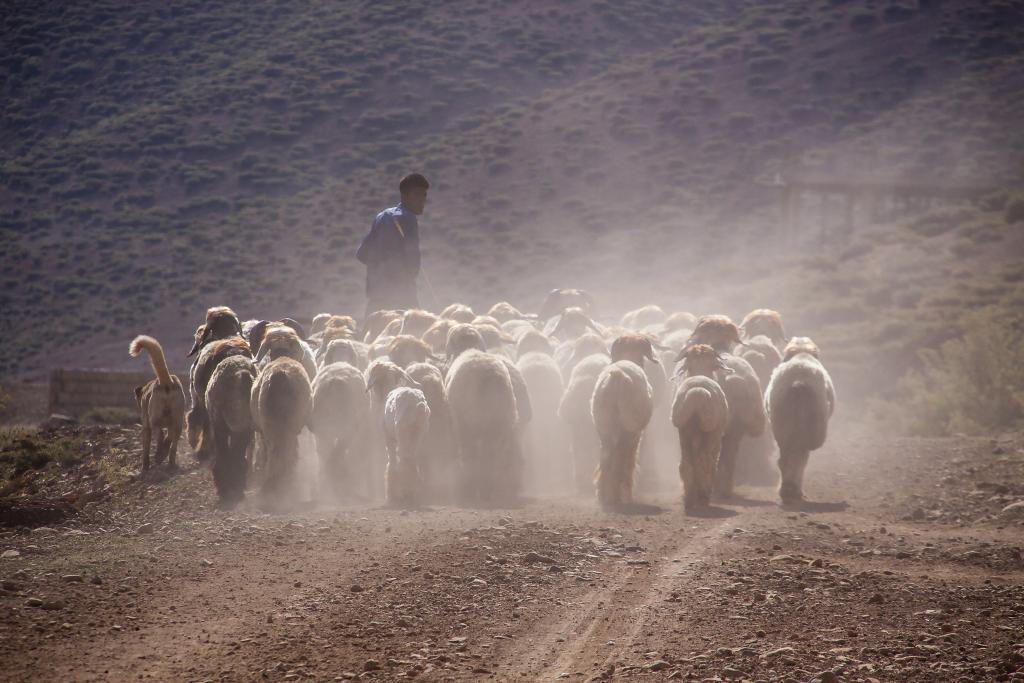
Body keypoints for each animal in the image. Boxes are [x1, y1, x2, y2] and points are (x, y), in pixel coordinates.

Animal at [765, 339, 835, 505]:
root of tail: (799, 380)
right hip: (807, 427)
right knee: (799, 457)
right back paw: (793, 491)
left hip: (782, 427)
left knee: (785, 459)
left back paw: (787, 490)